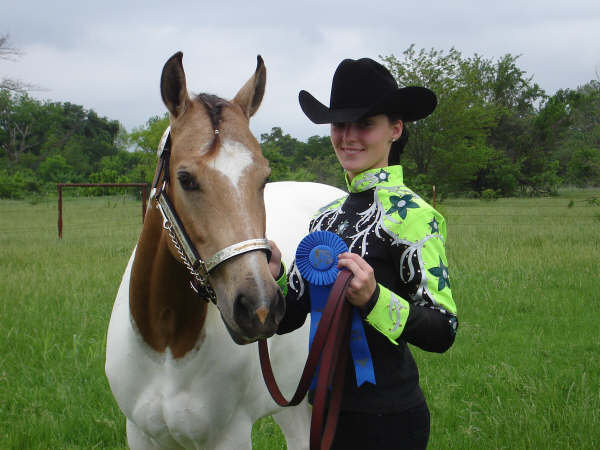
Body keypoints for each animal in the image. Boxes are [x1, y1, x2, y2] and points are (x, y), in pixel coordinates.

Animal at [105, 51, 344, 448]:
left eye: (264, 177)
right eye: (185, 179)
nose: (259, 308)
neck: (166, 345)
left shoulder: (229, 435)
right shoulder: (139, 433)